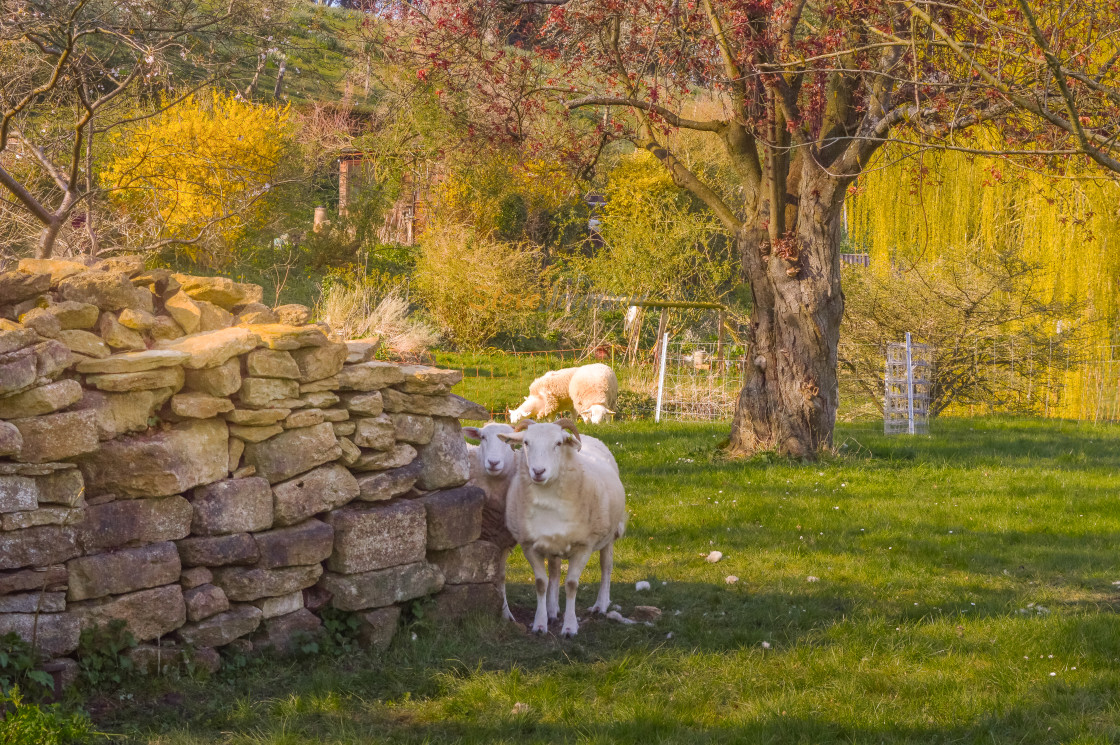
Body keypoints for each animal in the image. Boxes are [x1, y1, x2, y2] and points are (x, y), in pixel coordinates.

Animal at [501, 414, 627, 636]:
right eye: (526, 442)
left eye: (558, 443)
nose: (538, 471)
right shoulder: (529, 545)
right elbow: (541, 583)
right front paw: (540, 623)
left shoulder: (583, 546)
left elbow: (571, 585)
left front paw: (569, 627)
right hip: (554, 544)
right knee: (554, 571)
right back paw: (552, 610)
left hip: (609, 534)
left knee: (606, 566)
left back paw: (601, 605)